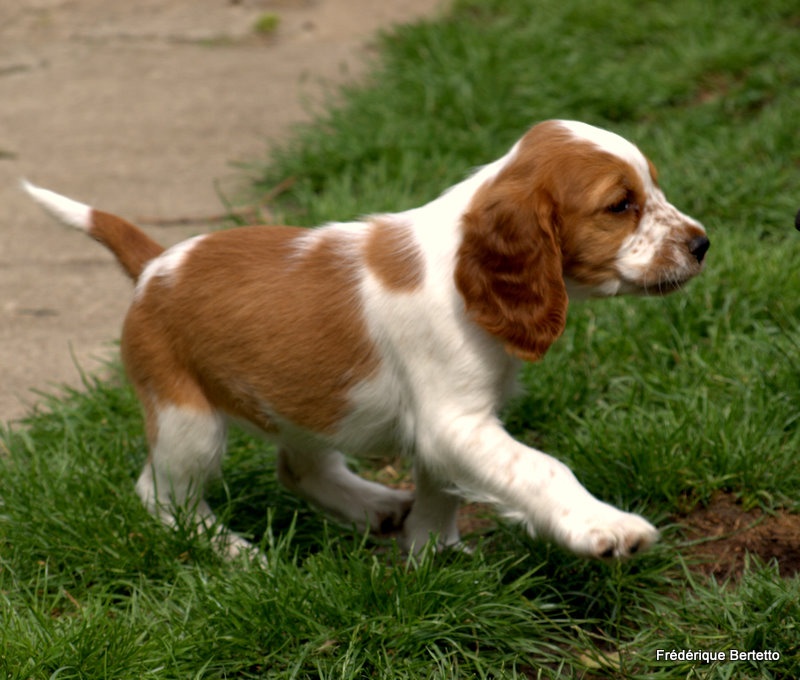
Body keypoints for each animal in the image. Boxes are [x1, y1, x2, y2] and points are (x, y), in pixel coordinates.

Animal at [25, 119, 708, 560]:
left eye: (653, 188)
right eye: (620, 205)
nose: (703, 243)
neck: (462, 264)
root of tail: (154, 265)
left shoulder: (447, 430)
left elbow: (440, 493)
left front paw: (432, 557)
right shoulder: (455, 420)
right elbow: (540, 467)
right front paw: (604, 527)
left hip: (305, 398)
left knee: (300, 466)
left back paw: (375, 506)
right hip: (186, 418)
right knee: (163, 496)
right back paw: (234, 551)